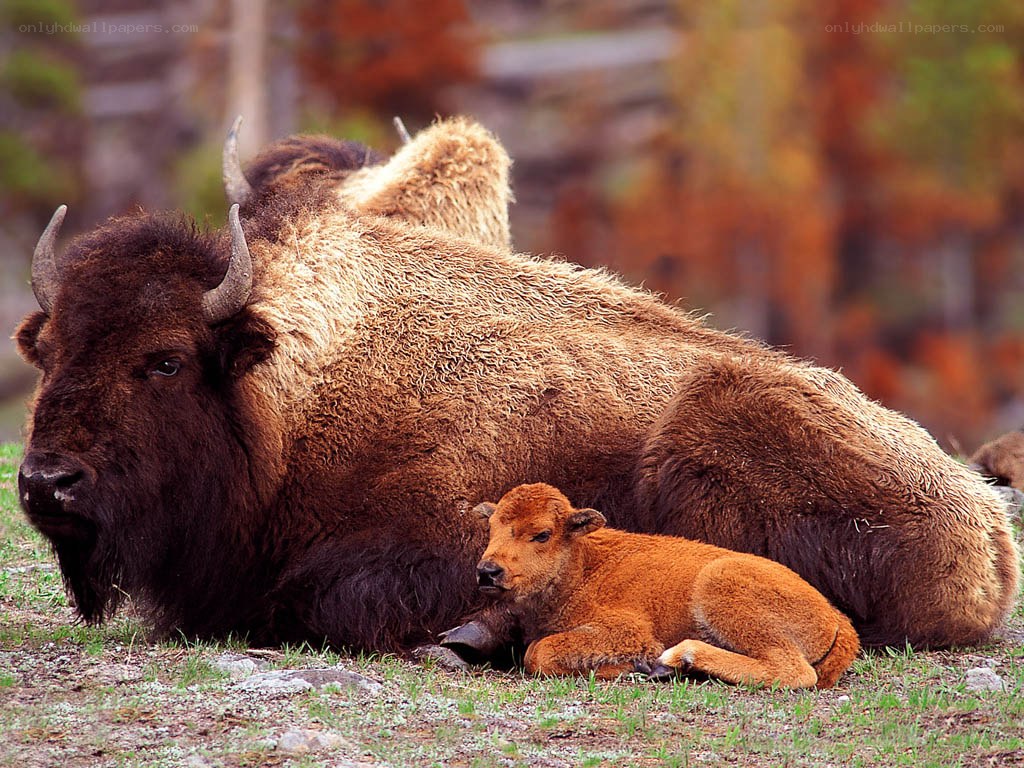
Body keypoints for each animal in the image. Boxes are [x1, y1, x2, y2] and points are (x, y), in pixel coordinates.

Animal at [14, 117, 1019, 656]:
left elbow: (327, 596)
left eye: (165, 358)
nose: (46, 483)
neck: (285, 394)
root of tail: (982, 527)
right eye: (49, 349)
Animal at [471, 483, 859, 688]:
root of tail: (835, 617)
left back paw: (679, 658)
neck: (582, 565)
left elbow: (538, 653)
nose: (488, 571)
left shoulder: (628, 631)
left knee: (794, 670)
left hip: (720, 587)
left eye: (542, 534)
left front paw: (633, 667)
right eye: (492, 528)